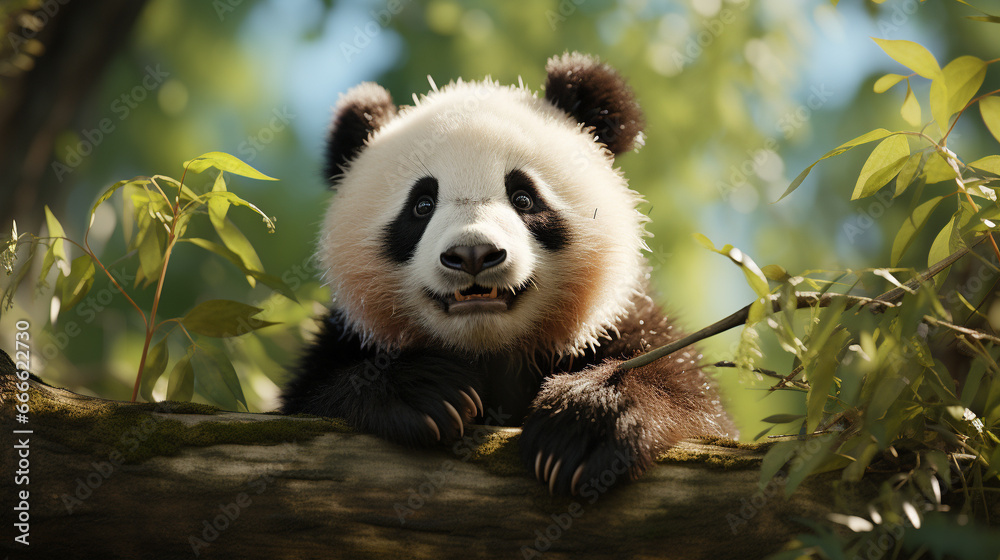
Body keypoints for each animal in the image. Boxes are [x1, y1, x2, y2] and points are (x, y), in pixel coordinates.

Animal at [281, 52, 735, 495]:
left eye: (523, 198)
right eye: (421, 205)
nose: (473, 254)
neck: (492, 352)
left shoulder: (622, 320)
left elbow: (689, 397)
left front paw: (585, 424)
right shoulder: (346, 339)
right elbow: (311, 403)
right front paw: (425, 391)